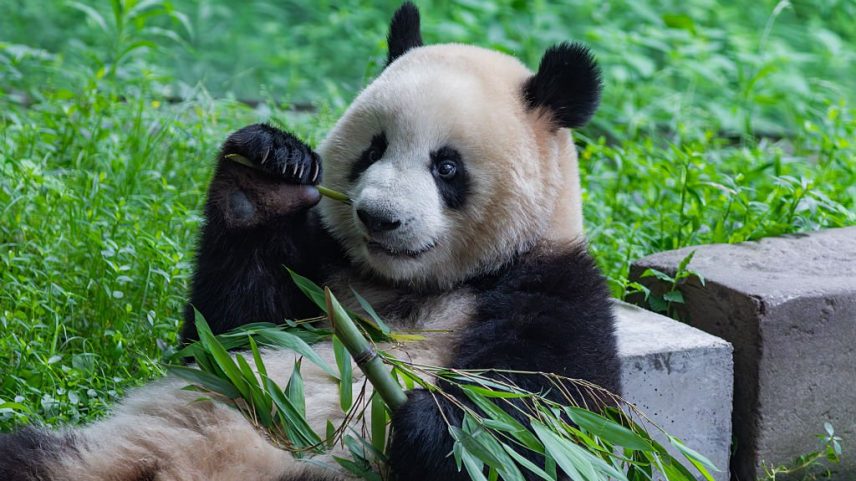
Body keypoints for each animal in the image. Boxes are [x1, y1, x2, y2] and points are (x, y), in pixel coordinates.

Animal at [0, 3, 620, 481]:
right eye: (373, 148)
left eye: (446, 167)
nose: (379, 218)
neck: (406, 285)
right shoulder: (325, 267)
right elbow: (225, 331)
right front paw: (267, 175)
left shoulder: (555, 284)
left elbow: (542, 421)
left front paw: (431, 424)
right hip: (97, 447)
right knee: (27, 454)